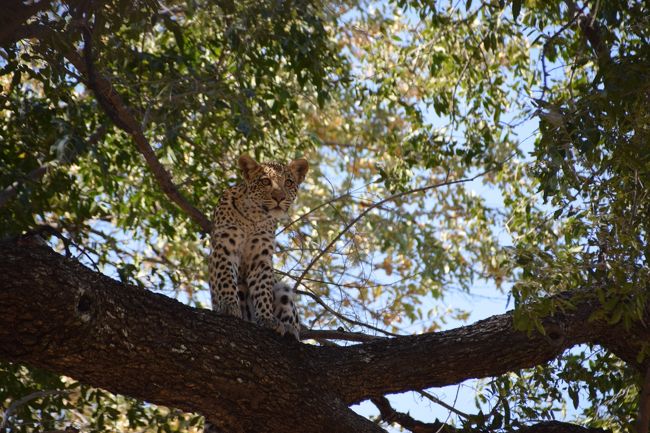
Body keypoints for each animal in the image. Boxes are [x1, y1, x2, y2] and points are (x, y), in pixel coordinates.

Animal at [209, 154, 308, 340]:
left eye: (288, 182)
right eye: (265, 181)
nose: (279, 197)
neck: (254, 216)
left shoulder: (260, 256)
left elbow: (263, 289)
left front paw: (267, 319)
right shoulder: (226, 246)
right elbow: (225, 277)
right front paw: (230, 307)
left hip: (282, 289)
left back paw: (290, 329)